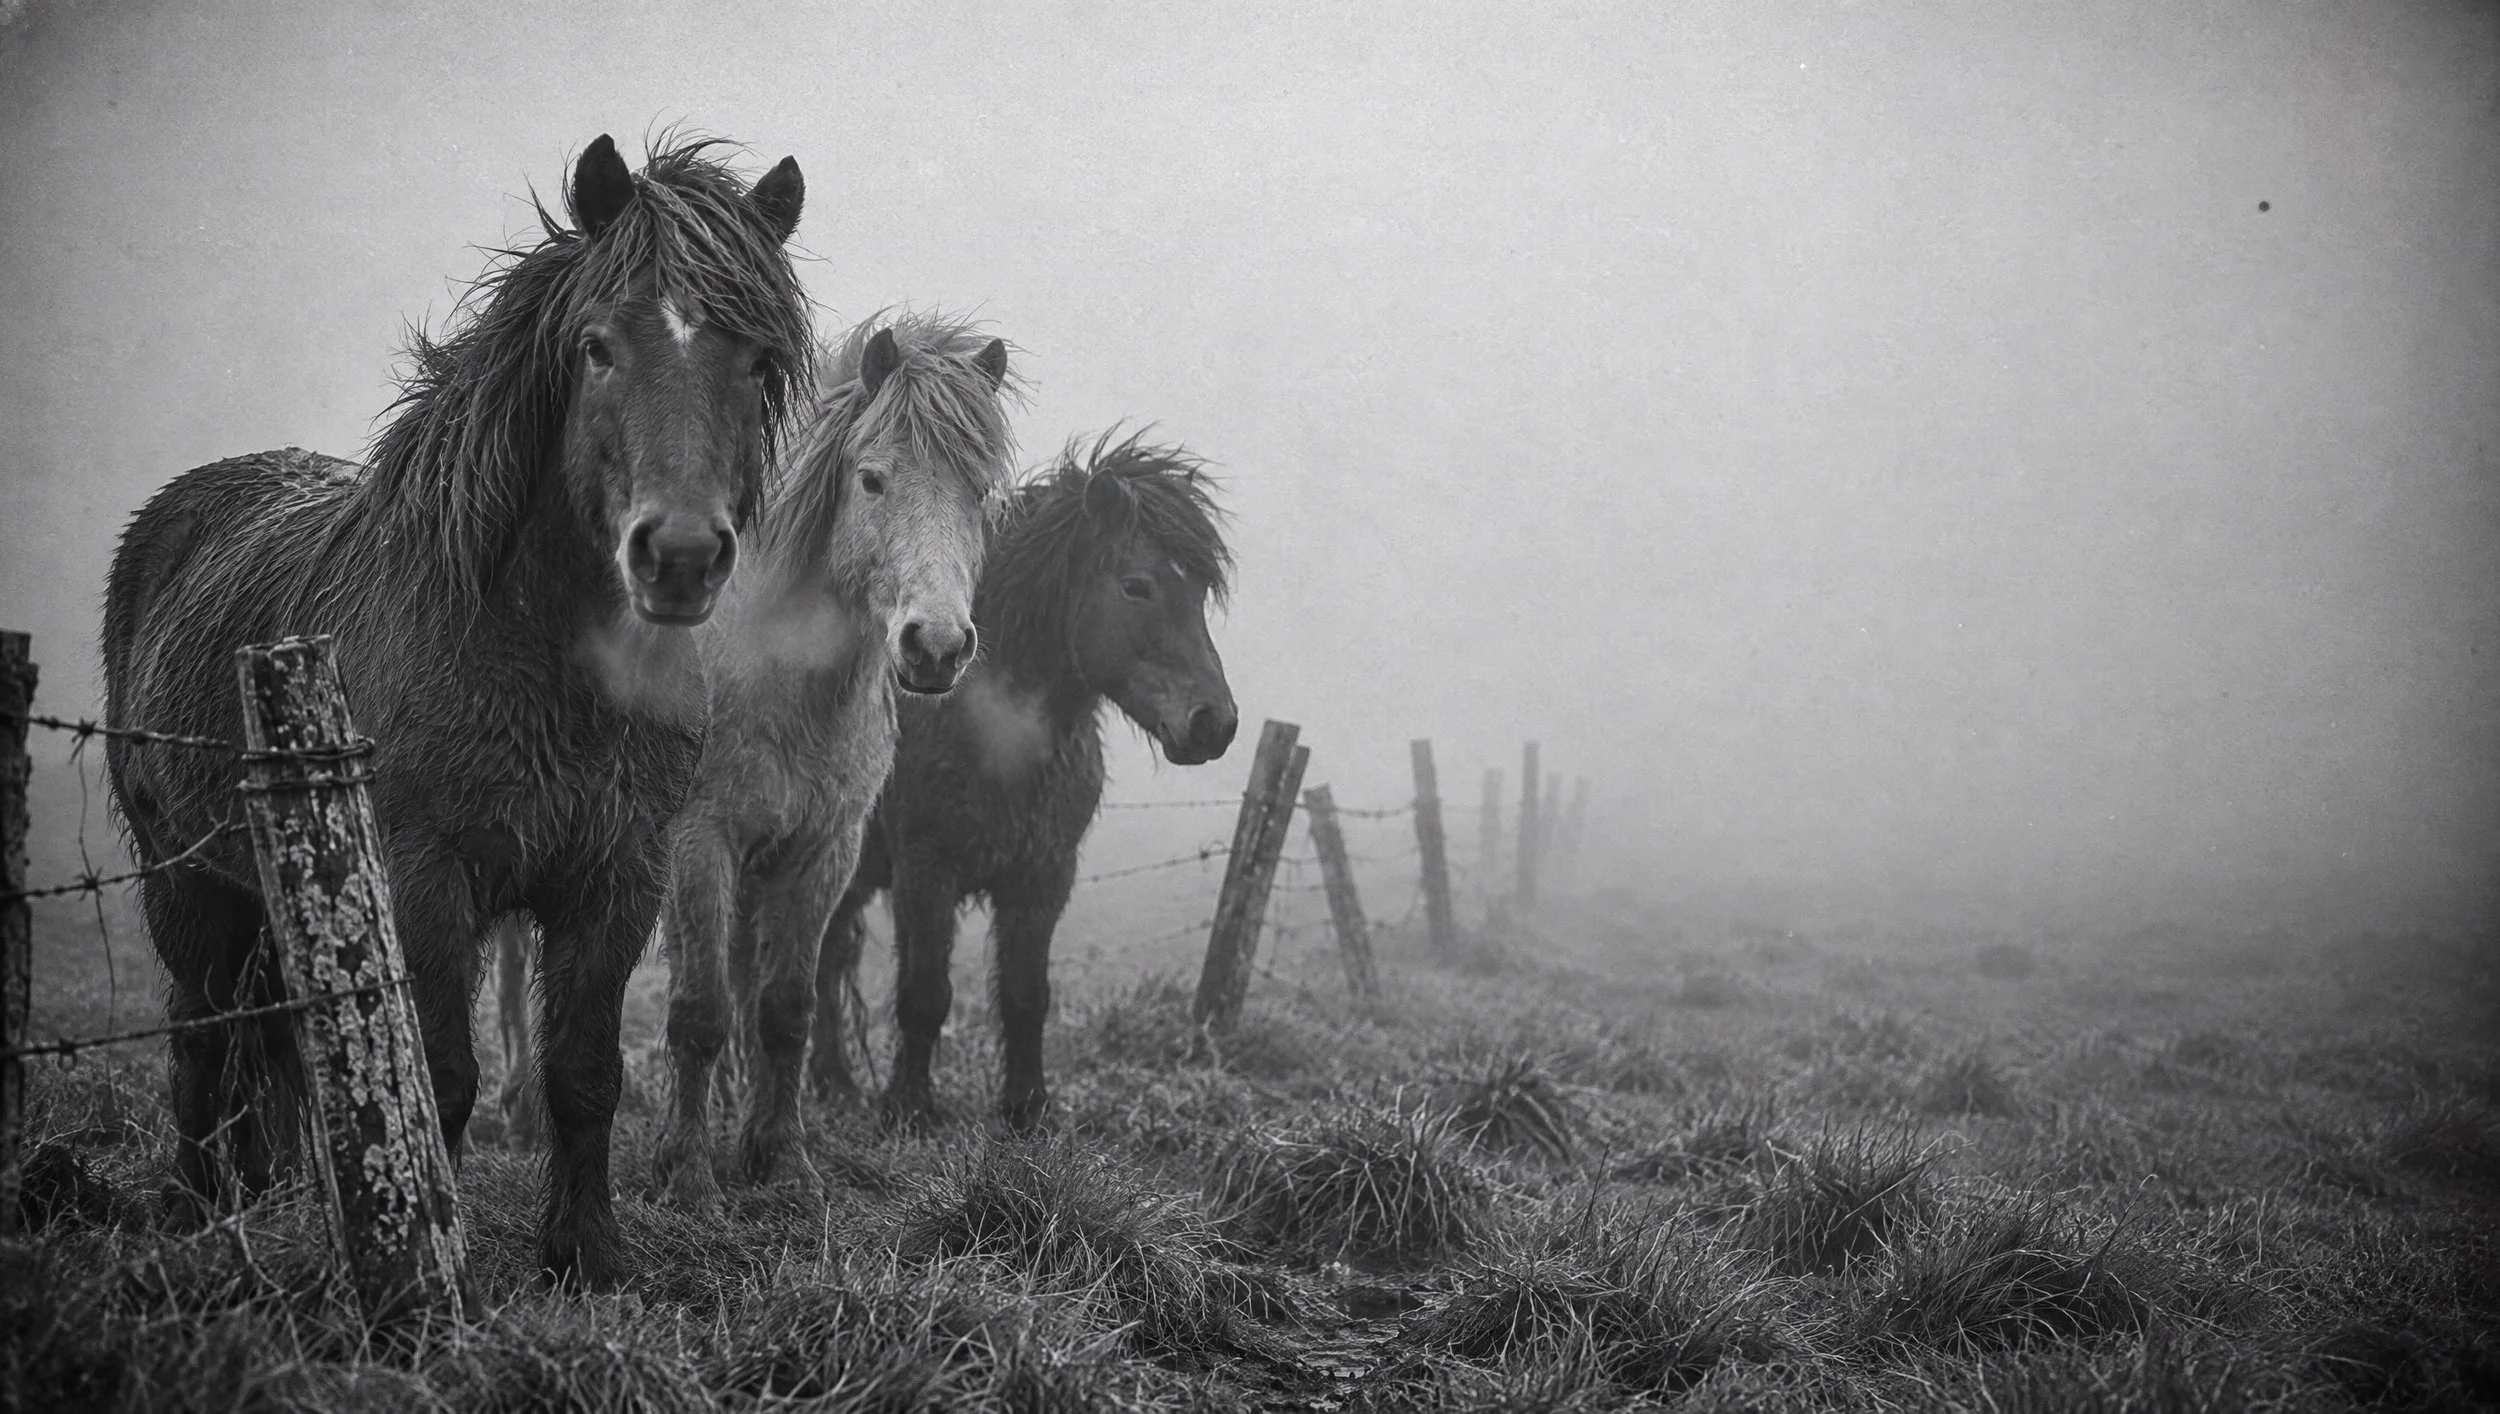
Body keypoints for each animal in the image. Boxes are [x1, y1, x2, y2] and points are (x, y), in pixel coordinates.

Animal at [100, 133, 814, 1291]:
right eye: (596, 348)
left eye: (756, 362)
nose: (680, 556)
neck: (540, 663)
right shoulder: (423, 877)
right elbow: (437, 1075)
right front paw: (438, 1254)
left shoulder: (617, 877)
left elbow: (583, 1072)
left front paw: (588, 1254)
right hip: (187, 880)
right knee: (200, 1030)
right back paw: (202, 1206)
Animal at [808, 429, 1239, 1131]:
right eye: (1136, 586)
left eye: (1201, 591)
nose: (1214, 724)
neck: (994, 736)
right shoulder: (926, 871)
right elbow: (924, 991)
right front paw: (909, 1106)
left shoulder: (1045, 875)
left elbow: (1026, 994)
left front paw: (1027, 1107)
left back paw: (831, 1080)